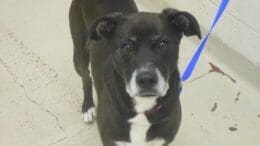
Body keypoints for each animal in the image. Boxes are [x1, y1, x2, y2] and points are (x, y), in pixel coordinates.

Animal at [69, 0, 201, 145]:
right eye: (127, 47)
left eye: (163, 44)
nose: (146, 80)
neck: (143, 108)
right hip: (80, 55)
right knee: (86, 78)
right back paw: (88, 107)